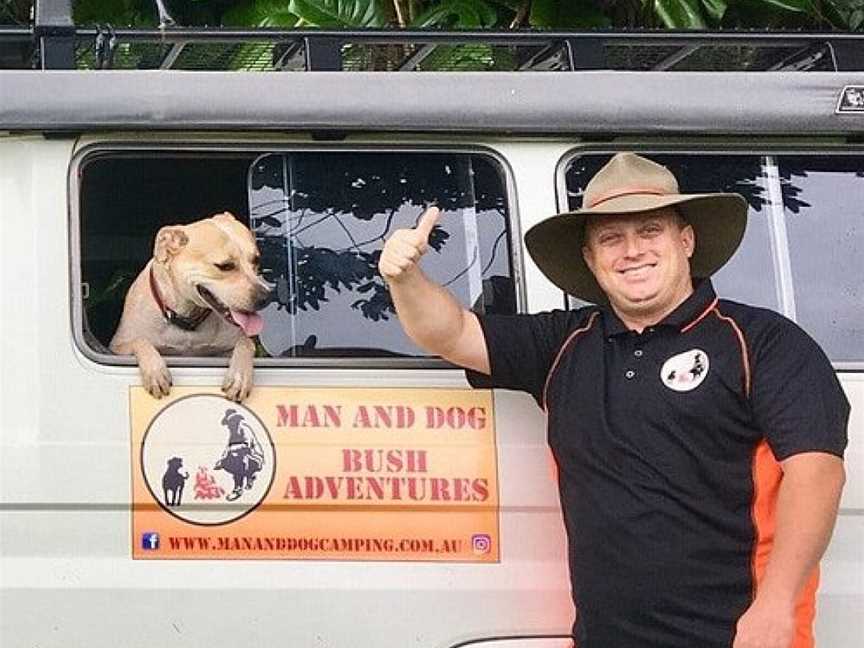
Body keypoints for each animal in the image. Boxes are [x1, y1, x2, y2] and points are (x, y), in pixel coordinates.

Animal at [109, 214, 270, 400]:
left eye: (256, 260)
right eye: (225, 266)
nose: (266, 297)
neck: (187, 316)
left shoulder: (227, 348)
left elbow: (246, 343)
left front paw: (240, 377)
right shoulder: (117, 347)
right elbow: (139, 341)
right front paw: (156, 371)